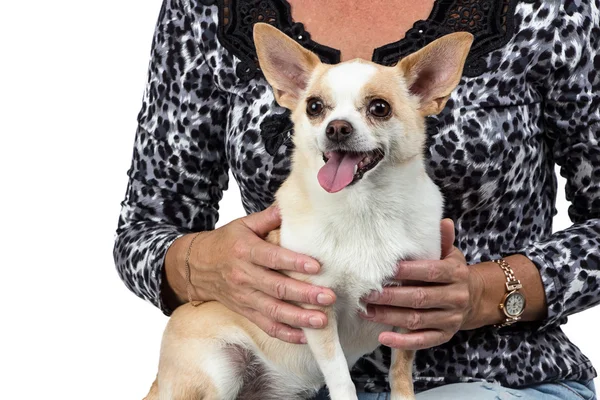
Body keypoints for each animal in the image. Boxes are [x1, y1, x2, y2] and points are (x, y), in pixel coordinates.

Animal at [146, 25, 474, 400]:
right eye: (315, 107)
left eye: (380, 108)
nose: (337, 127)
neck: (364, 207)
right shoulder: (317, 310)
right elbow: (341, 377)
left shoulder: (410, 312)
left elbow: (400, 371)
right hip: (217, 370)